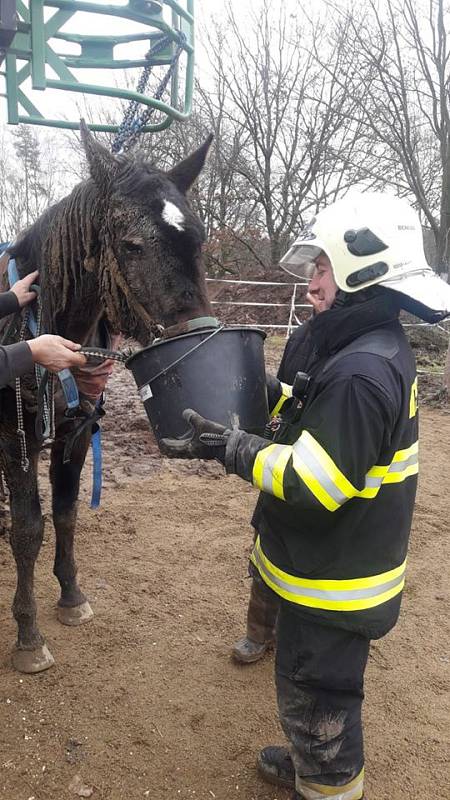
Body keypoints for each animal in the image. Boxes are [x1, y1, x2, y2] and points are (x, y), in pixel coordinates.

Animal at [0, 123, 213, 676]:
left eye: (199, 239)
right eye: (132, 245)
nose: (201, 331)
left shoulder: (75, 433)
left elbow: (66, 512)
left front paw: (72, 597)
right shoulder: (15, 440)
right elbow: (28, 529)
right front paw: (28, 635)